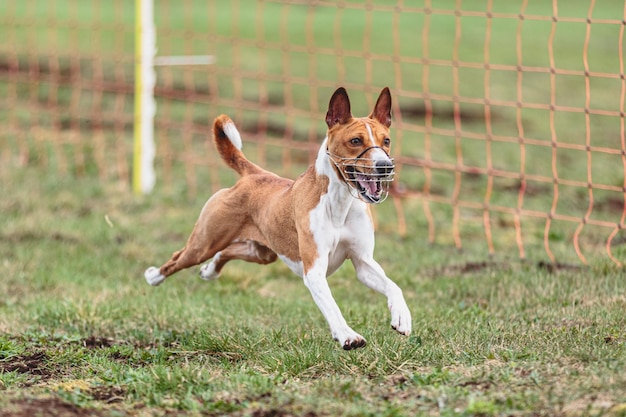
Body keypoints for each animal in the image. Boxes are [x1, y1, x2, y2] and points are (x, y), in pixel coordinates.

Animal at [144, 87, 412, 348]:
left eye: (386, 141)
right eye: (355, 141)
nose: (385, 166)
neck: (339, 203)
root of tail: (254, 174)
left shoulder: (363, 261)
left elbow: (394, 286)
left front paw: (402, 317)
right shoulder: (314, 270)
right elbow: (332, 306)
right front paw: (348, 336)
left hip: (262, 253)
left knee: (226, 252)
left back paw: (209, 271)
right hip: (205, 242)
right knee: (178, 259)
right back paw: (153, 276)